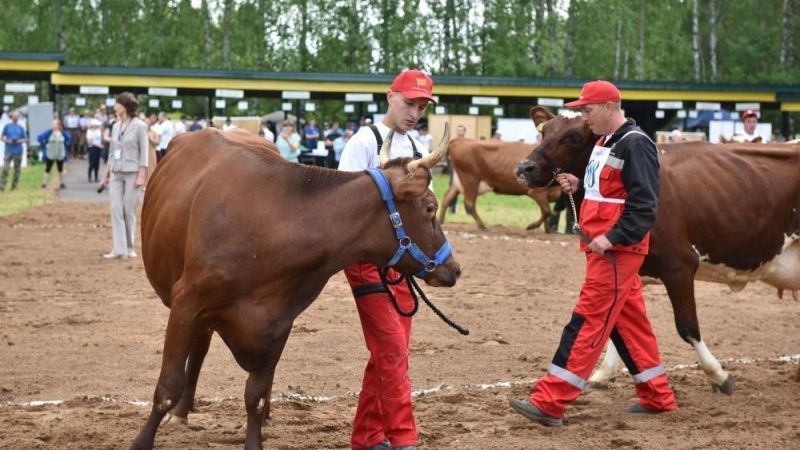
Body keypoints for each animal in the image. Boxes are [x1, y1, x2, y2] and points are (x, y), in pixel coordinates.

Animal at [128, 127, 460, 450]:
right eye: (430, 208)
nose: (454, 268)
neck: (273, 229)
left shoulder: (278, 322)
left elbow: (256, 395)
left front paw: (256, 436)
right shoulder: (186, 305)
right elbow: (167, 387)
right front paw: (142, 441)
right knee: (198, 350)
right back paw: (182, 412)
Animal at [520, 107, 800, 396]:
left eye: (574, 137)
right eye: (544, 131)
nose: (524, 167)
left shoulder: (680, 265)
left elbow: (687, 326)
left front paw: (718, 375)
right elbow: (617, 323)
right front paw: (603, 373)